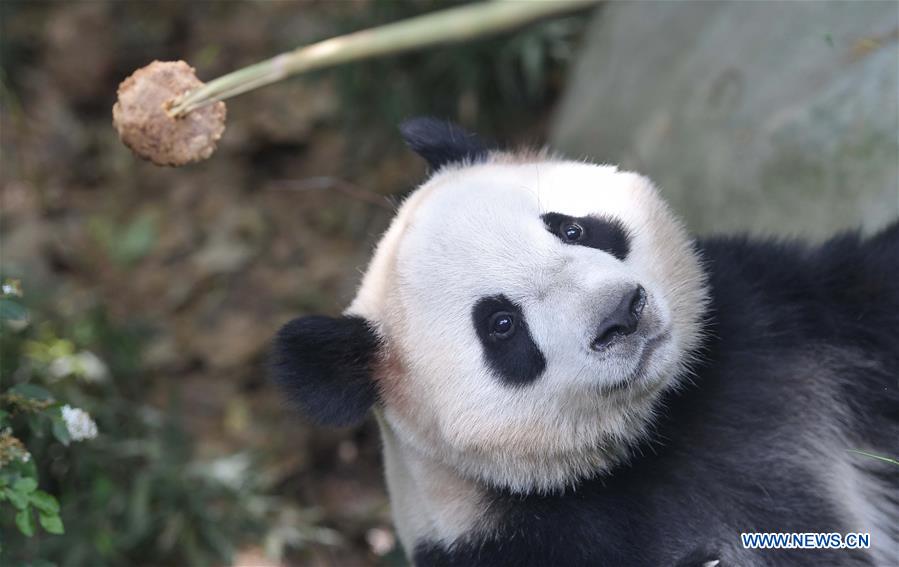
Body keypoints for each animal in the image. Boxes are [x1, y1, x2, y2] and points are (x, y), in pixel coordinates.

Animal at [272, 118, 899, 566]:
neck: (648, 441)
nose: (622, 314)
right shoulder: (522, 543)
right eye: (502, 324)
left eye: (571, 228)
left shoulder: (776, 321)